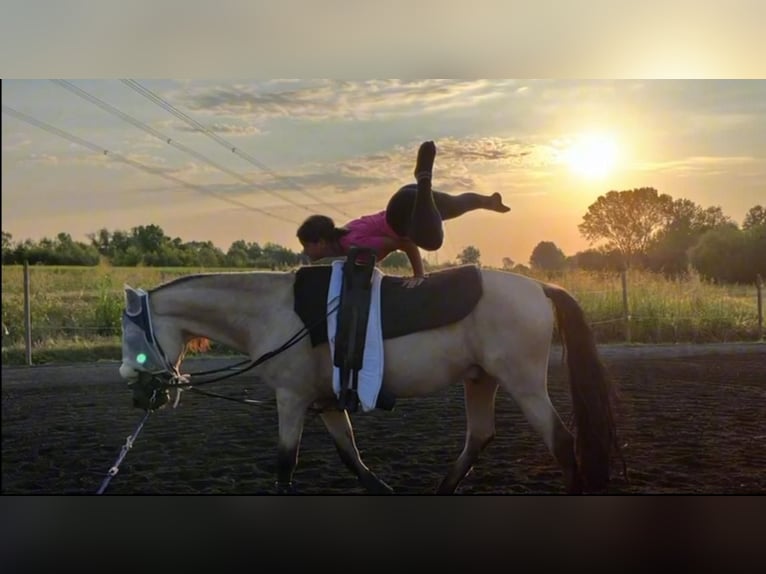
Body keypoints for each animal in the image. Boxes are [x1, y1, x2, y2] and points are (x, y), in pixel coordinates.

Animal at [118, 266, 624, 496]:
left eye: (131, 335)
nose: (138, 394)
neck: (272, 312)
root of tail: (540, 287)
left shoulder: (291, 398)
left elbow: (285, 463)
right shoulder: (324, 401)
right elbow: (349, 454)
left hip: (524, 385)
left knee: (562, 443)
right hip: (481, 380)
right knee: (480, 436)